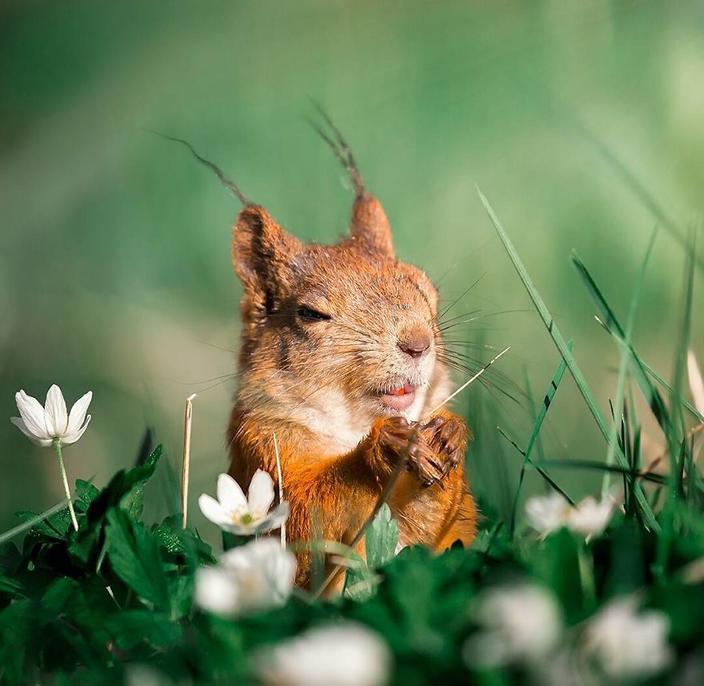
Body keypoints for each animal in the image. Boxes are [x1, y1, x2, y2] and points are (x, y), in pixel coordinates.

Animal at [226, 117, 478, 584]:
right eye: (310, 313)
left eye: (428, 289)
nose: (418, 342)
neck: (353, 424)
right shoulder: (261, 448)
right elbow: (306, 522)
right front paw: (386, 448)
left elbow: (438, 530)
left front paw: (450, 433)